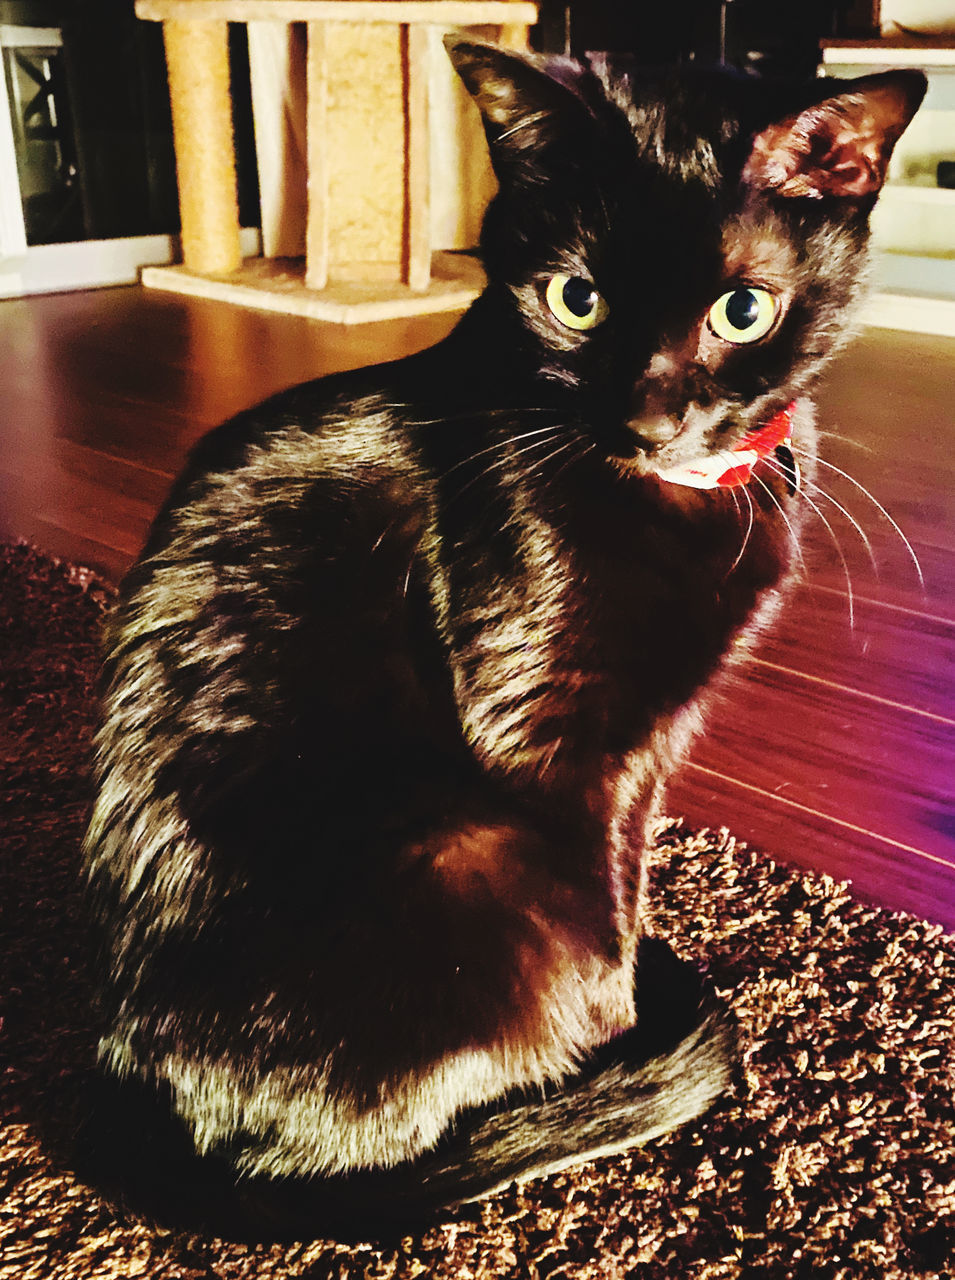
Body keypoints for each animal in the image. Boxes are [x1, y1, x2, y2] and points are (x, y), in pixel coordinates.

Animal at [81, 40, 921, 1233]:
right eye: (577, 299)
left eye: (742, 310)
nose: (650, 418)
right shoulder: (554, 738)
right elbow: (604, 915)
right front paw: (615, 1050)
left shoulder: (648, 749)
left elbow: (629, 878)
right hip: (470, 852)